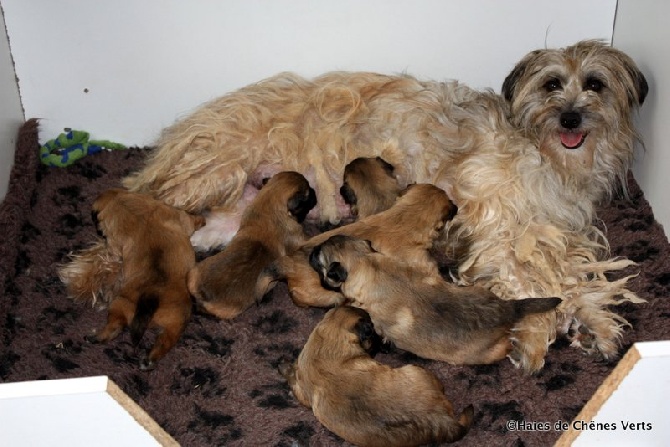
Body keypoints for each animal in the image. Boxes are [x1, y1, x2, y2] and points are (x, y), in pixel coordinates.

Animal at [186, 170, 318, 320]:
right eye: (308, 193)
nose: (315, 192)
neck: (271, 202)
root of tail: (203, 296)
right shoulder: (298, 236)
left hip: (193, 273)